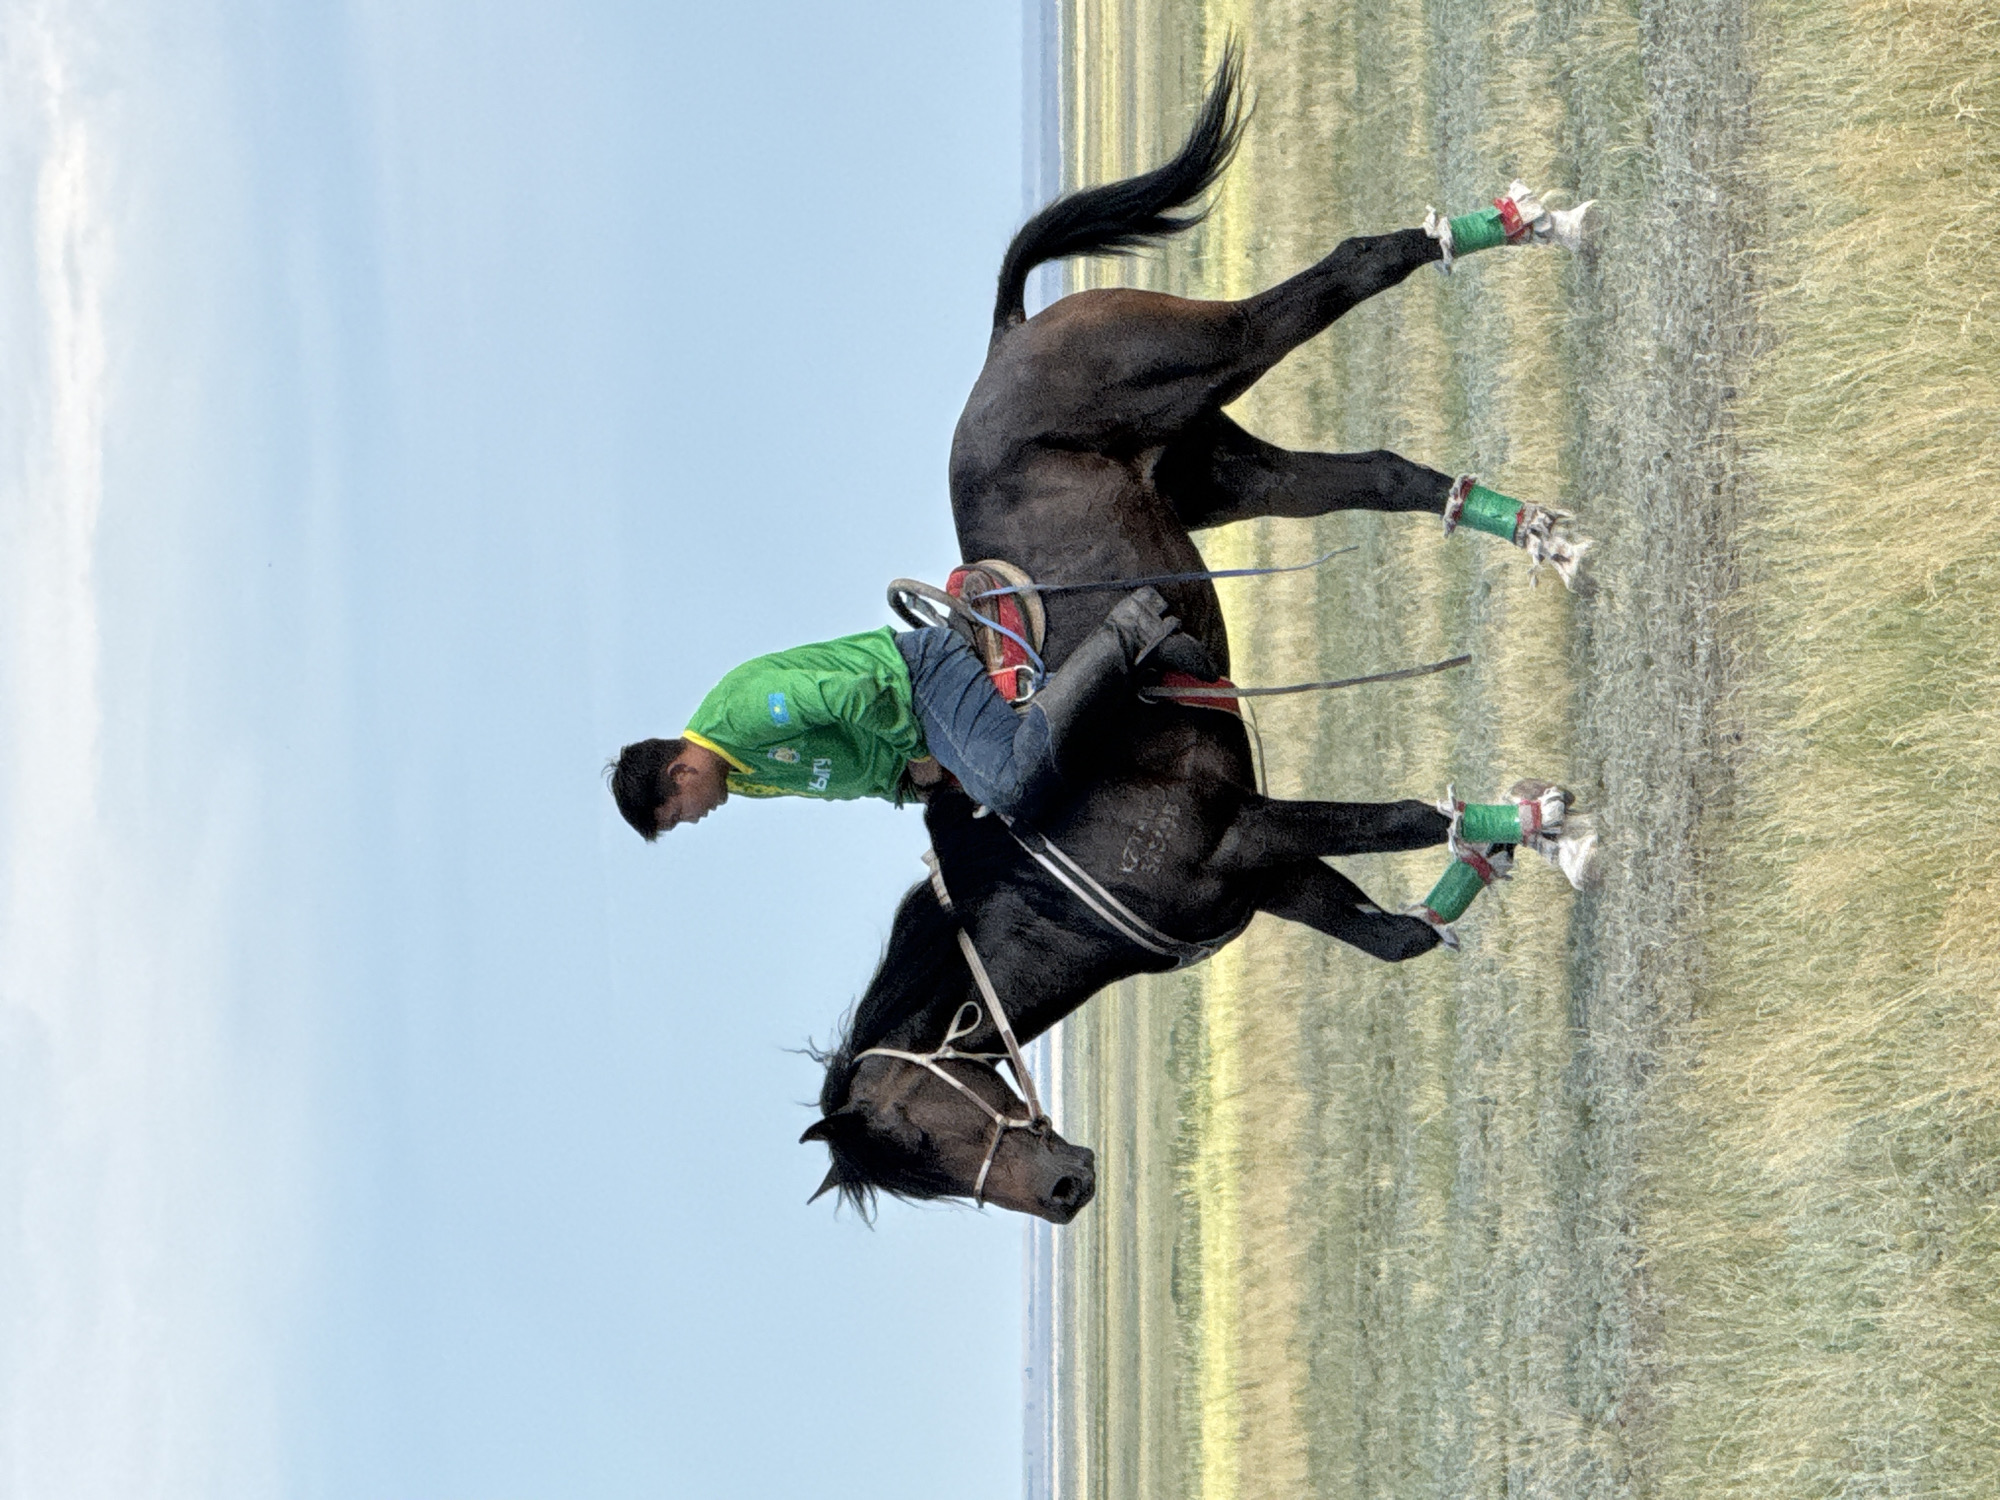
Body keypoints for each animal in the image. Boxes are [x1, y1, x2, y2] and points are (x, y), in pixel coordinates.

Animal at [804, 51, 1591, 1223]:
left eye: (919, 1131)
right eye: (926, 1179)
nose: (1068, 1188)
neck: (1061, 878)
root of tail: (1006, 337)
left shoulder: (1246, 833)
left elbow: (1404, 818)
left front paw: (1541, 822)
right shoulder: (1272, 877)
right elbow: (1398, 935)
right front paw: (1490, 858)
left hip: (1203, 362)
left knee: (1341, 275)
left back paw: (1510, 227)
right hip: (1225, 472)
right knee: (1379, 474)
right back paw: (1535, 528)